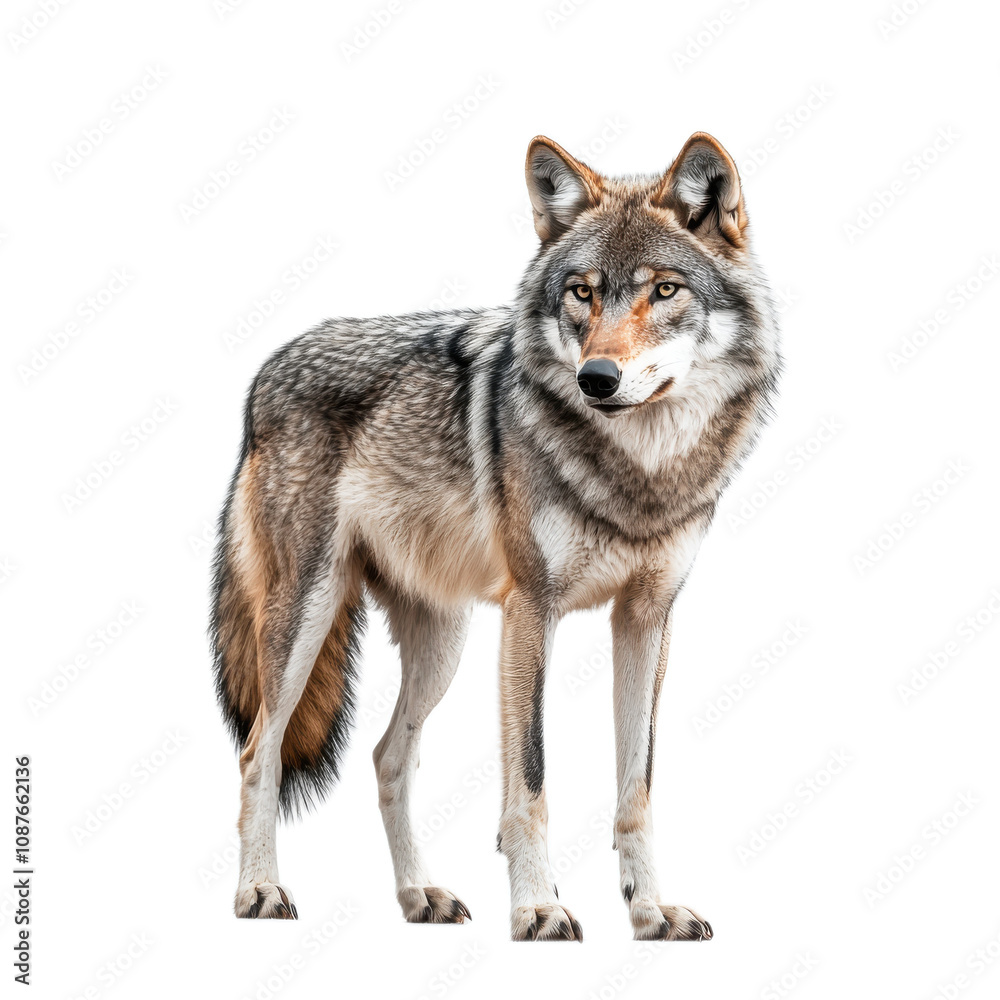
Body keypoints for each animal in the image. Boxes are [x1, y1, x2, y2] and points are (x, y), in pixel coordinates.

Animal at [211, 132, 780, 941]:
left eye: (665, 291)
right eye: (582, 292)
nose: (597, 378)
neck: (639, 474)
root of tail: (265, 370)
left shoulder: (645, 619)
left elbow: (636, 789)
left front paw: (651, 912)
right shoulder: (531, 611)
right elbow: (531, 782)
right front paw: (539, 907)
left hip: (442, 645)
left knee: (387, 758)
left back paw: (421, 896)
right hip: (306, 617)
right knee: (259, 752)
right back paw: (259, 891)